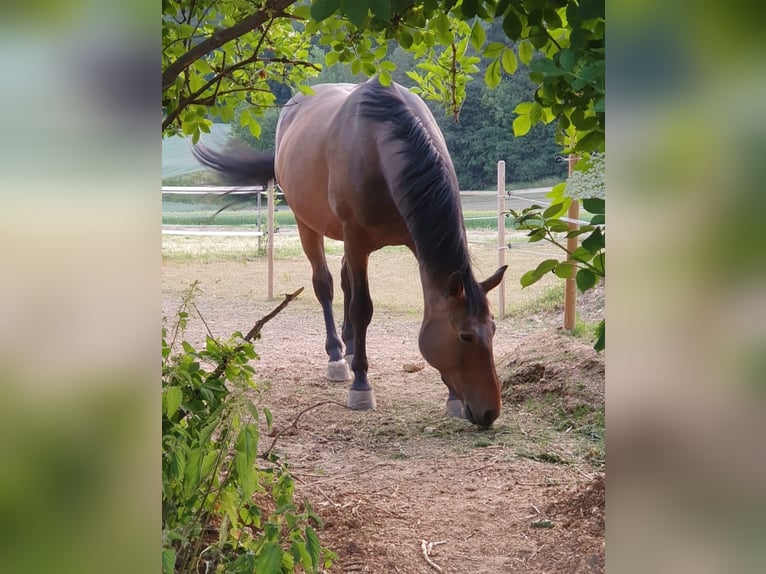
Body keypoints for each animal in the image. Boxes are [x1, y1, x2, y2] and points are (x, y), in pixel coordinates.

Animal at [192, 77, 508, 428]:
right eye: (465, 336)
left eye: (493, 330)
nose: (490, 412)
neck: (381, 144)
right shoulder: (357, 240)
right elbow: (362, 308)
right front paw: (361, 384)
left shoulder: (413, 241)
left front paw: (451, 396)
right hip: (308, 226)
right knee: (326, 285)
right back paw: (336, 355)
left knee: (344, 282)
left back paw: (351, 345)